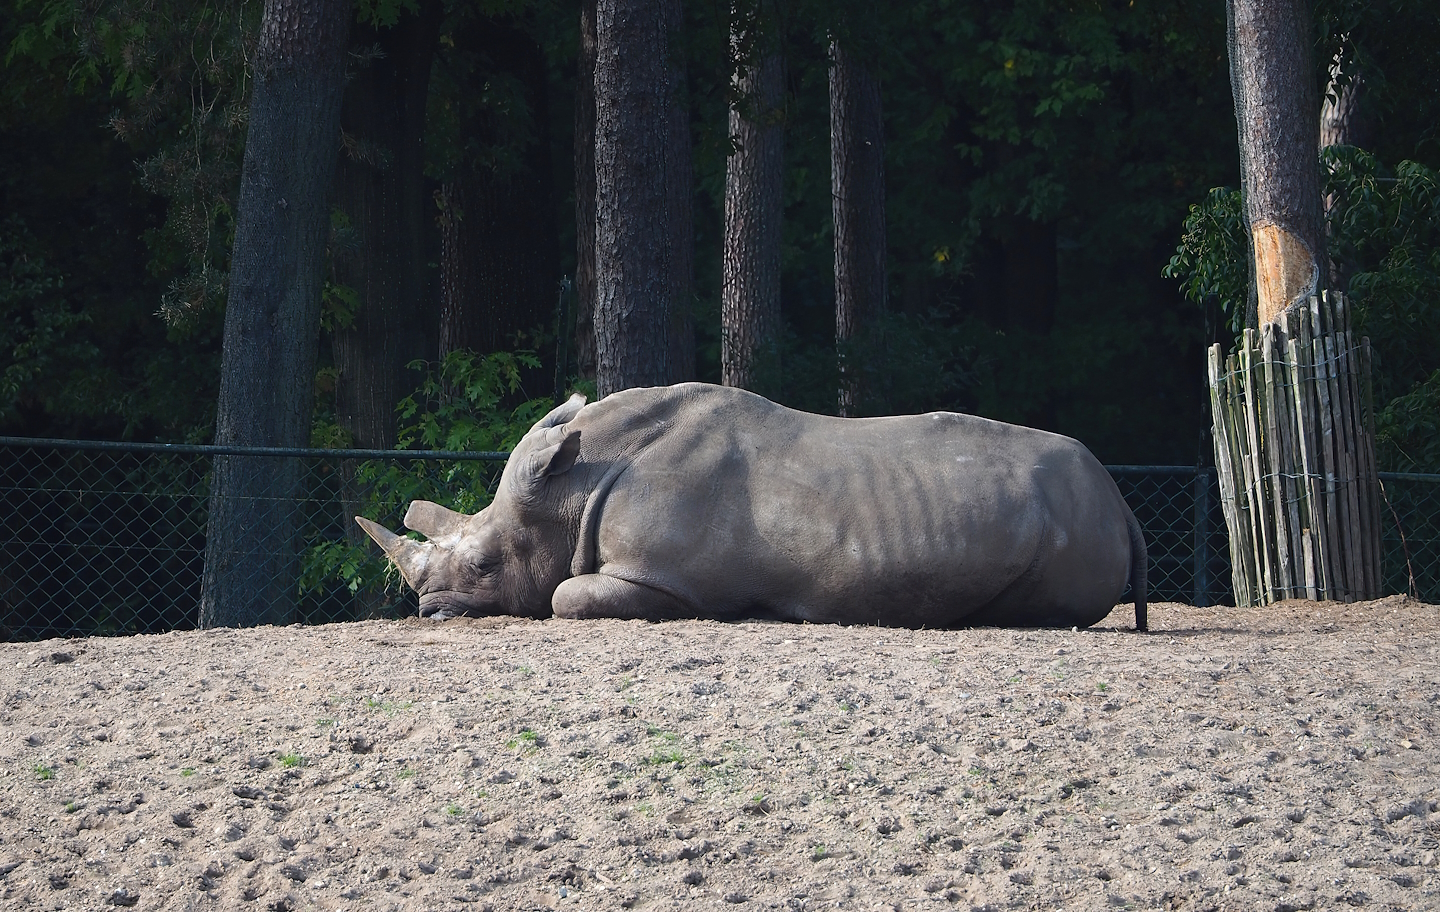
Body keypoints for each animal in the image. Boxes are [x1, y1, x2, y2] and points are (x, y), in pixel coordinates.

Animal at [356, 382, 1147, 630]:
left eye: (488, 567)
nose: (429, 612)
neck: (571, 489)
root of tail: (1121, 500)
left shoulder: (660, 575)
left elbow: (564, 596)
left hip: (1076, 523)